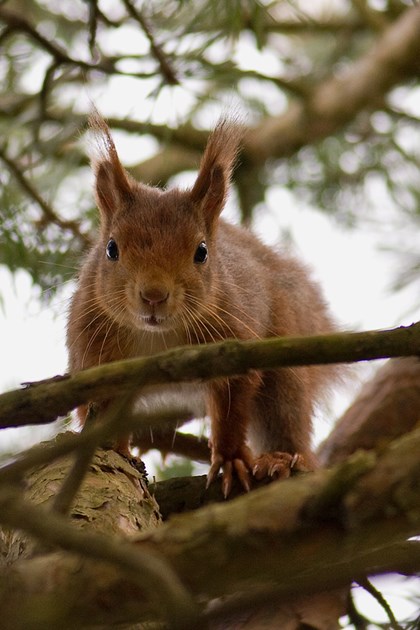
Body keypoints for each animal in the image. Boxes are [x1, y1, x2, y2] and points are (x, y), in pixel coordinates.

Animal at [68, 115, 338, 498]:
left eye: (202, 252)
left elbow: (232, 407)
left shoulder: (232, 341)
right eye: (111, 248)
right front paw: (112, 449)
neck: (158, 337)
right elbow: (99, 407)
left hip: (286, 356)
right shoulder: (92, 350)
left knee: (286, 415)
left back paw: (280, 459)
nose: (154, 295)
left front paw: (229, 459)